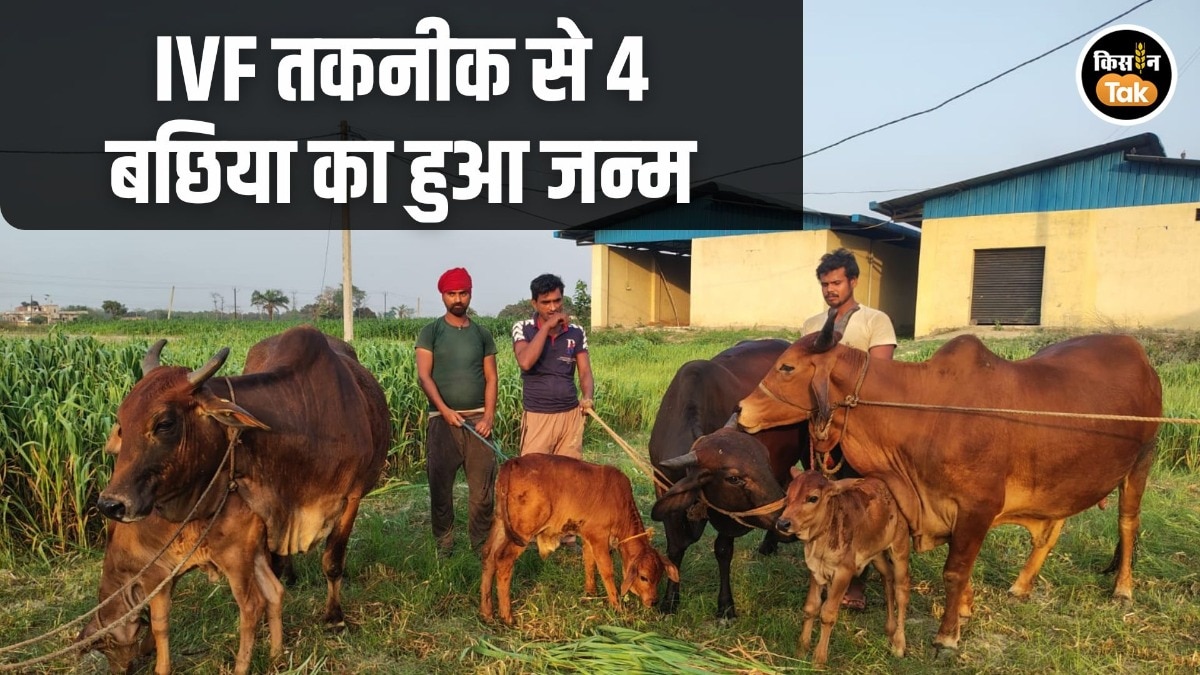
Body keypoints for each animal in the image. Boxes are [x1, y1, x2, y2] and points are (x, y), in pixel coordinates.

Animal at [78, 492, 282, 675]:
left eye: (104, 647)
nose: (117, 671)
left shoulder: (154, 576)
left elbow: (159, 624)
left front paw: (161, 668)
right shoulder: (168, 579)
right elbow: (153, 616)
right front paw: (146, 647)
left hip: (235, 561)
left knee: (252, 606)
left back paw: (241, 667)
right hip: (256, 555)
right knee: (275, 592)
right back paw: (276, 656)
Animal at [96, 325, 391, 630]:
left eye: (164, 423)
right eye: (122, 422)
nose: (111, 504)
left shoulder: (351, 498)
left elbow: (332, 561)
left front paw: (334, 617)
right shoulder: (267, 506)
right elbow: (272, 569)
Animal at [479, 453, 680, 625]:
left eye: (660, 577)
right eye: (644, 577)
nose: (653, 601)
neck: (620, 503)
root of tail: (513, 462)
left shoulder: (588, 536)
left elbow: (589, 562)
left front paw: (591, 592)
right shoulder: (599, 537)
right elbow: (606, 570)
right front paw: (617, 606)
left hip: (501, 523)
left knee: (489, 555)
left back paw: (487, 613)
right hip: (522, 531)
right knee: (503, 560)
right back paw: (507, 616)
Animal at [648, 338, 806, 618]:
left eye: (764, 459)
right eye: (733, 478)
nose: (788, 525)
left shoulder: (730, 516)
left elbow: (723, 551)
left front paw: (725, 605)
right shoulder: (663, 488)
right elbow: (675, 548)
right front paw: (670, 600)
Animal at [776, 468, 910, 667]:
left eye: (813, 498)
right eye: (788, 495)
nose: (783, 523)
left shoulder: (844, 572)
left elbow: (828, 613)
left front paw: (818, 660)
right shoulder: (815, 570)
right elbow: (811, 607)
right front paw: (801, 651)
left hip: (900, 550)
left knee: (901, 590)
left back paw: (899, 644)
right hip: (876, 554)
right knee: (887, 577)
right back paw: (890, 629)